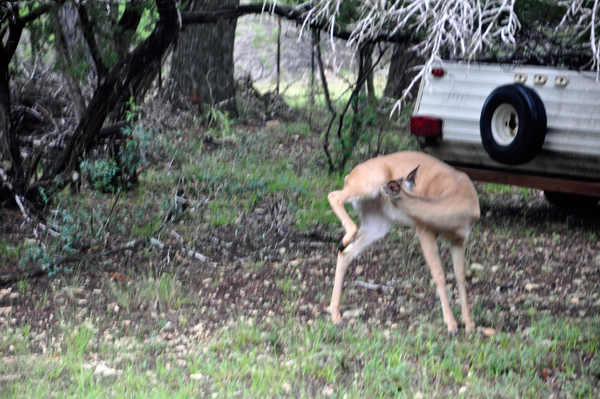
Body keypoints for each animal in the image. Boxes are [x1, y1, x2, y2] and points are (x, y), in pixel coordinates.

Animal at [326, 152, 480, 332]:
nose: (380, 194)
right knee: (334, 196)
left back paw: (336, 316)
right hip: (368, 185)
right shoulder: (424, 229)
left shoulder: (459, 239)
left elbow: (460, 275)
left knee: (346, 254)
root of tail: (349, 177)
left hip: (378, 223)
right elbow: (439, 274)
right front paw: (451, 324)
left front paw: (469, 323)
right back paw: (345, 238)